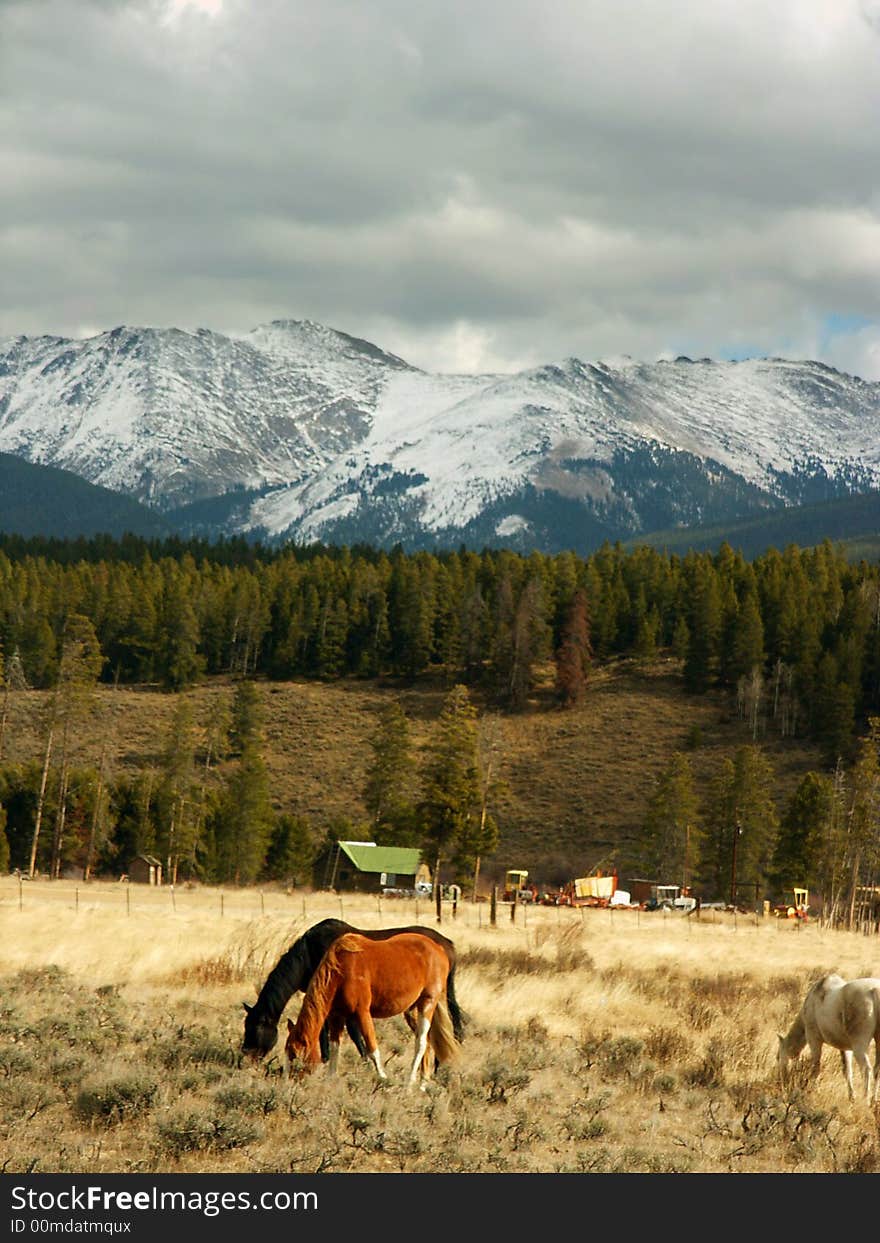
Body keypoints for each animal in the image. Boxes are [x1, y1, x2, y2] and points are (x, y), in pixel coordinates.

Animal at [285, 934, 459, 1088]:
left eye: (294, 1054)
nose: (288, 1083)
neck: (342, 969)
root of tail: (439, 948)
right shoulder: (337, 1017)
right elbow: (335, 1049)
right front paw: (330, 1082)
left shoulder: (362, 1013)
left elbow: (372, 1049)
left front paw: (384, 1079)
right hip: (411, 1010)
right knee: (428, 1042)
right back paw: (422, 1084)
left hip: (428, 1003)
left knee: (421, 1043)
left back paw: (409, 1085)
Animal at [775, 974, 879, 1103]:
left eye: (778, 1057)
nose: (780, 1082)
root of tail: (875, 990)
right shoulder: (845, 1048)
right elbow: (847, 1071)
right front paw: (851, 1097)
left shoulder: (813, 1039)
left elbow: (816, 1067)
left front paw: (813, 1091)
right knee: (876, 1069)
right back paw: (874, 1100)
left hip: (859, 1044)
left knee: (866, 1069)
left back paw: (865, 1100)